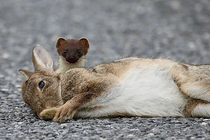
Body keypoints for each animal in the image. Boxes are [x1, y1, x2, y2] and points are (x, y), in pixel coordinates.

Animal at [19, 44, 210, 121]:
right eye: (26, 102)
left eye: (41, 84)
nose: (41, 112)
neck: (60, 83)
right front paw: (52, 113)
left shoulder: (101, 83)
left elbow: (83, 95)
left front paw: (62, 112)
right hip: (195, 107)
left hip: (189, 85)